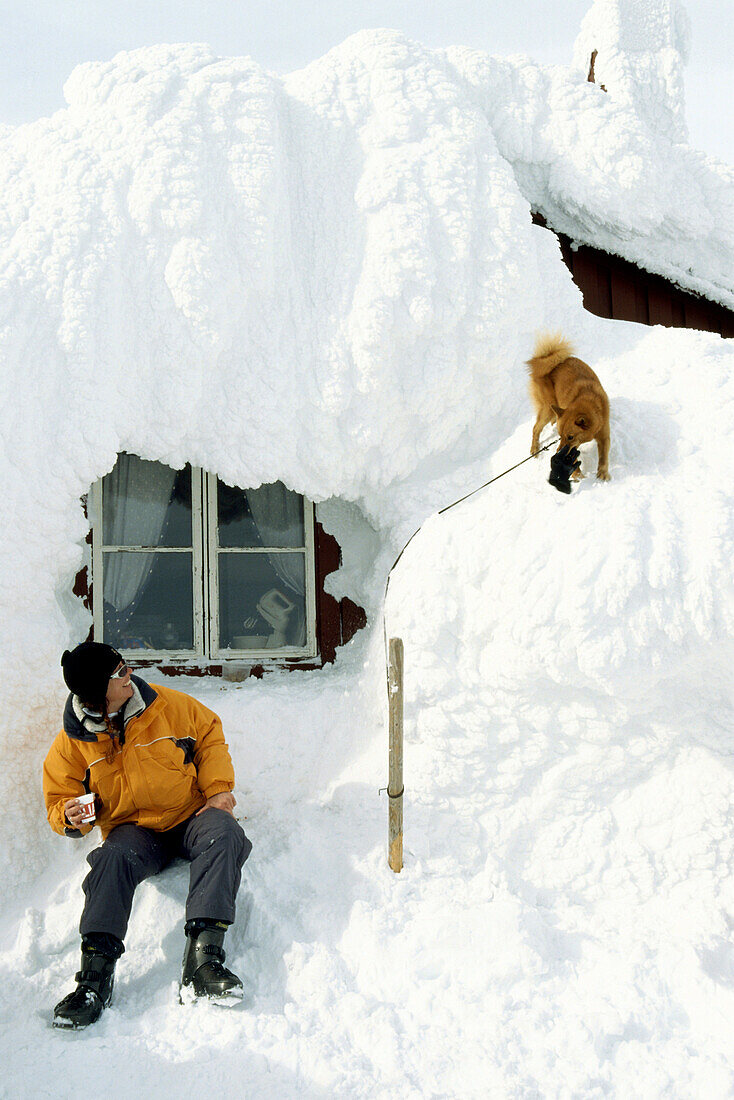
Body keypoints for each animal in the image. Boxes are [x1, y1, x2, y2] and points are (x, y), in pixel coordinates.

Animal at [526, 330, 611, 477]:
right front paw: (577, 474)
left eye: (570, 437)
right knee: (536, 428)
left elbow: (603, 456)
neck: (589, 401)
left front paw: (603, 473)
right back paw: (535, 448)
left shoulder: (604, 435)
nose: (557, 452)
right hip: (547, 409)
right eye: (560, 435)